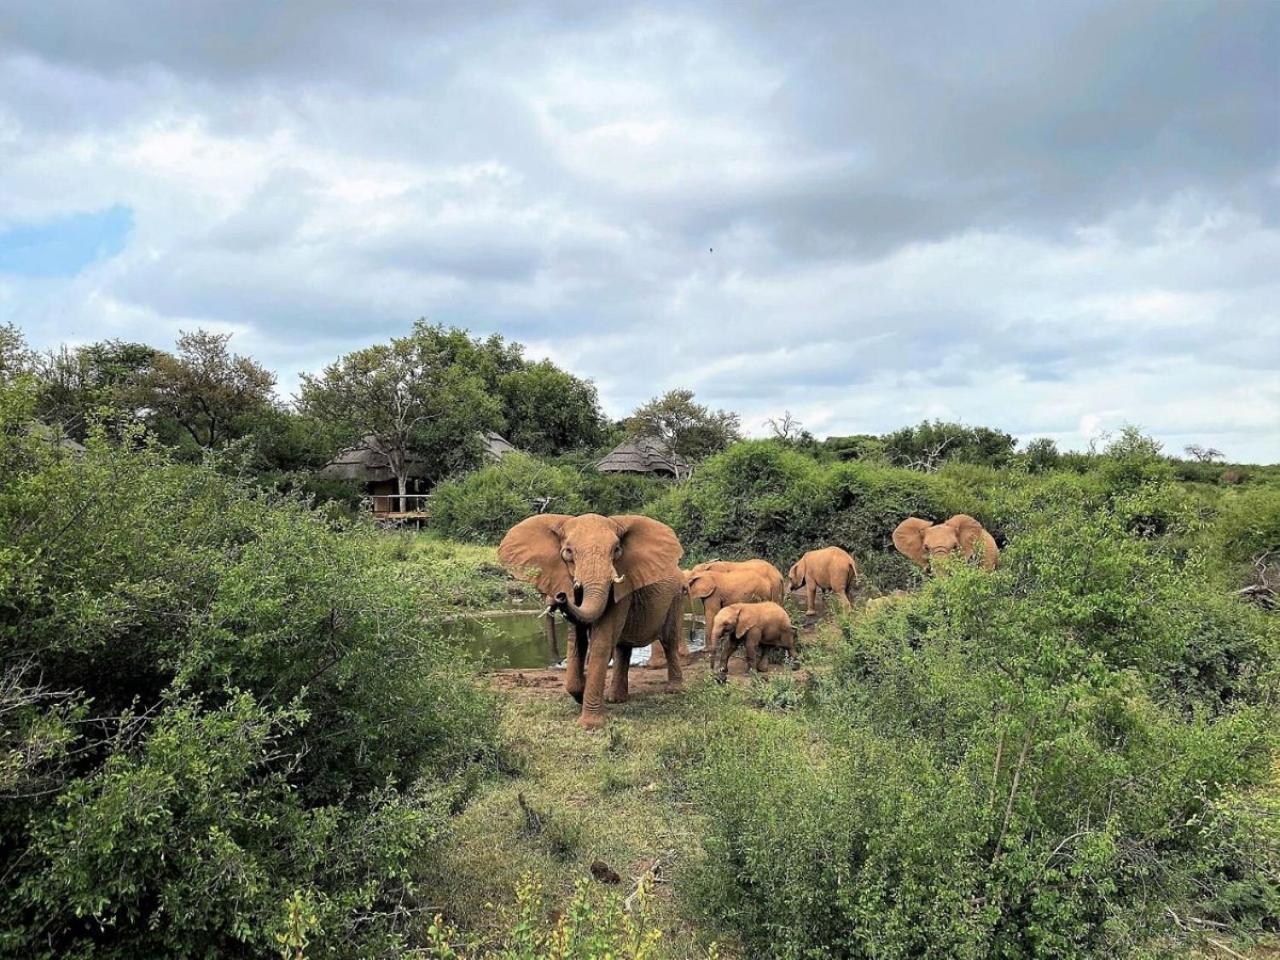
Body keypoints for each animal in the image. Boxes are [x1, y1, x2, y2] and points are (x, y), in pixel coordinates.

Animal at [494, 512, 686, 727]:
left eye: (616, 550)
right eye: (568, 552)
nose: (560, 596)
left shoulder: (621, 590)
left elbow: (601, 642)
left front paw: (590, 724)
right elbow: (576, 641)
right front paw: (580, 692)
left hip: (676, 598)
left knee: (669, 640)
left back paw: (674, 690)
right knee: (623, 648)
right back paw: (615, 699)